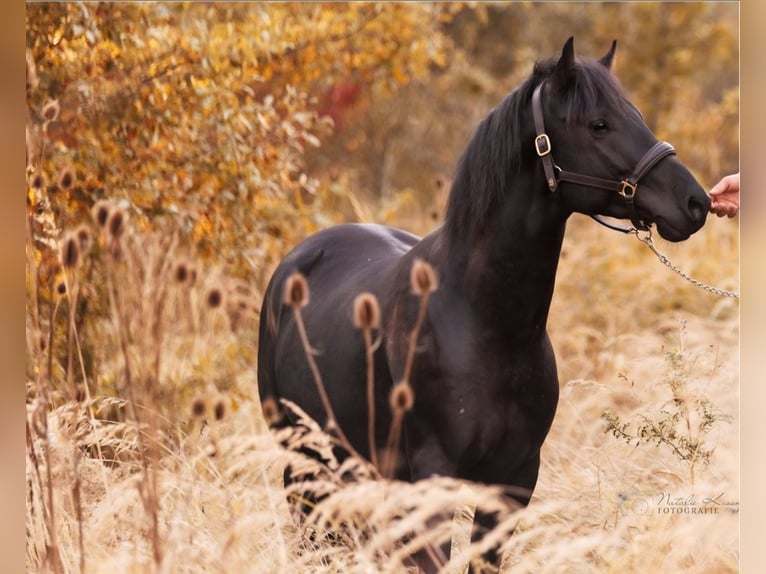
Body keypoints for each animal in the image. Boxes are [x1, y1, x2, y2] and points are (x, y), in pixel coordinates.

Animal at [257, 37, 710, 569]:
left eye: (635, 115)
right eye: (599, 124)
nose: (696, 203)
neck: (486, 324)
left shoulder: (513, 481)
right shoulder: (432, 482)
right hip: (305, 464)